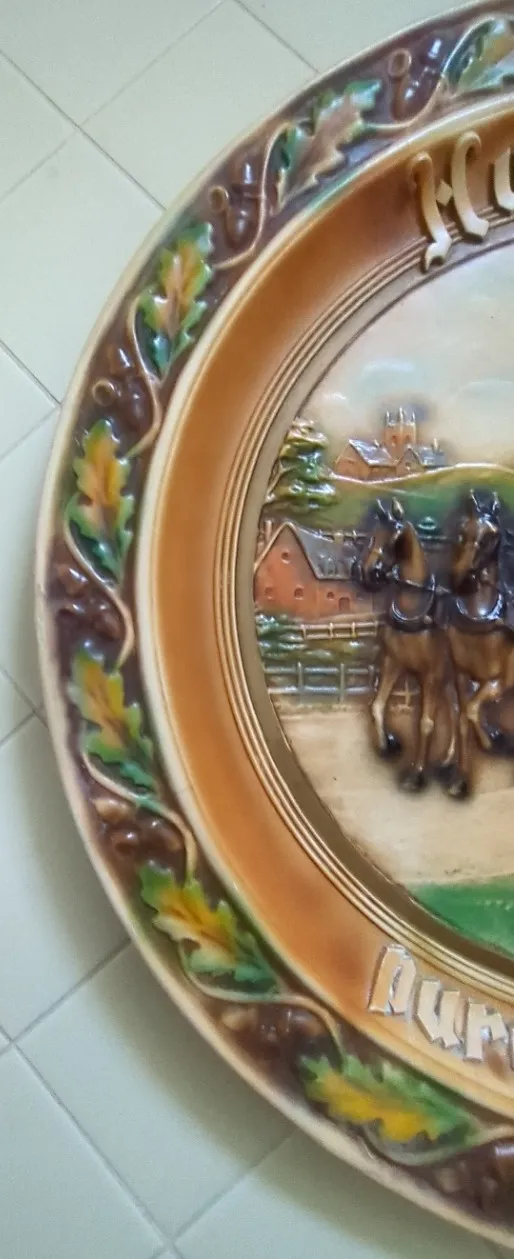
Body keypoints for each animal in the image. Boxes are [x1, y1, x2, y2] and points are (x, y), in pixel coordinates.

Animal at [357, 498, 459, 794]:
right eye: (373, 535)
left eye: (394, 539)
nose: (366, 572)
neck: (415, 607)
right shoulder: (393, 663)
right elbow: (377, 706)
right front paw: (387, 744)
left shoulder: (431, 675)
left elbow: (426, 723)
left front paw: (416, 775)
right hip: (448, 678)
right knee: (455, 711)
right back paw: (447, 760)